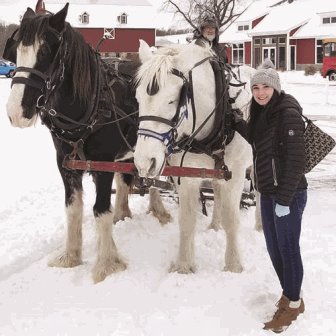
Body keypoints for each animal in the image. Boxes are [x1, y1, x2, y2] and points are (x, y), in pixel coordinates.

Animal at [6, 3, 171, 284]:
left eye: (46, 50)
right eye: (17, 48)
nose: (17, 112)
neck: (89, 106)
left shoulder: (102, 164)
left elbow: (99, 210)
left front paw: (106, 263)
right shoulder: (66, 164)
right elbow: (73, 208)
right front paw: (71, 256)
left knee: (155, 177)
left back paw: (158, 210)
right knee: (126, 180)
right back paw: (123, 213)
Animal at [133, 40, 255, 274]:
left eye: (172, 101)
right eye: (138, 98)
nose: (144, 162)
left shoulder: (235, 175)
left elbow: (232, 219)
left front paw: (233, 265)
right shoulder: (187, 176)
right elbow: (187, 220)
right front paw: (184, 265)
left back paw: (260, 226)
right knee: (217, 189)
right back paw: (214, 225)